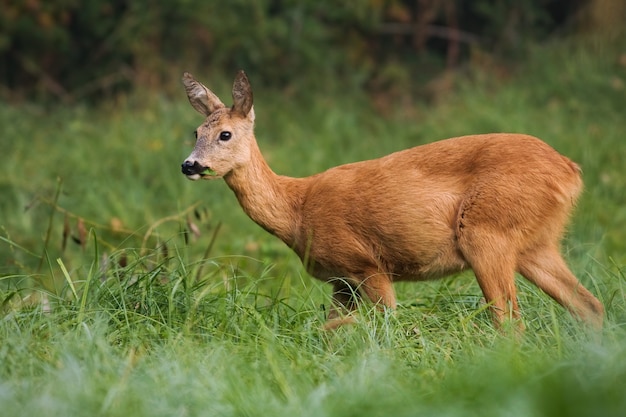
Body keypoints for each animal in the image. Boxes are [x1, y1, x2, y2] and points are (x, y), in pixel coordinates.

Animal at [178, 72, 604, 332]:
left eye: (226, 134)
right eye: (196, 131)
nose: (189, 164)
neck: (297, 211)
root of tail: (570, 171)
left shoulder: (367, 264)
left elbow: (384, 325)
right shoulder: (341, 281)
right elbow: (329, 330)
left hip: (487, 230)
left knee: (510, 321)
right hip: (535, 243)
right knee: (590, 306)